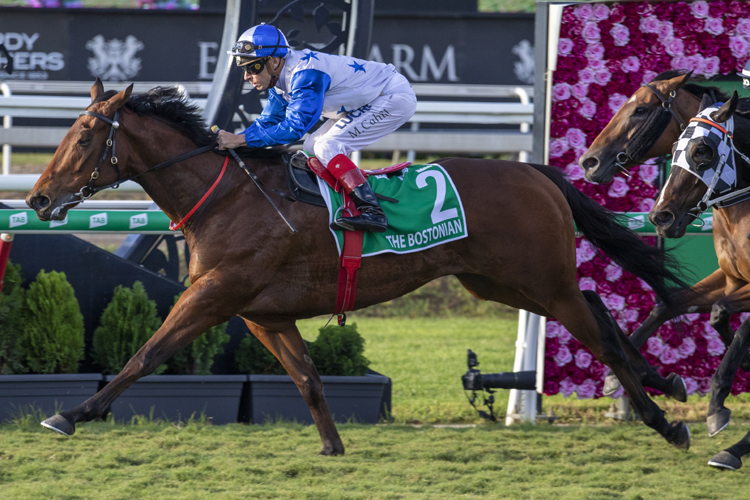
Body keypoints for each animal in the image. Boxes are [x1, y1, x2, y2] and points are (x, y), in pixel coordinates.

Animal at [30, 81, 692, 454]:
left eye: (84, 139)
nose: (37, 199)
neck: (227, 196)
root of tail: (535, 170)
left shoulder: (214, 295)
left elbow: (146, 354)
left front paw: (71, 414)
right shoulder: (263, 314)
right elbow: (308, 379)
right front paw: (332, 447)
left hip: (538, 280)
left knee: (596, 332)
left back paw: (665, 420)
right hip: (501, 281)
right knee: (598, 309)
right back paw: (665, 383)